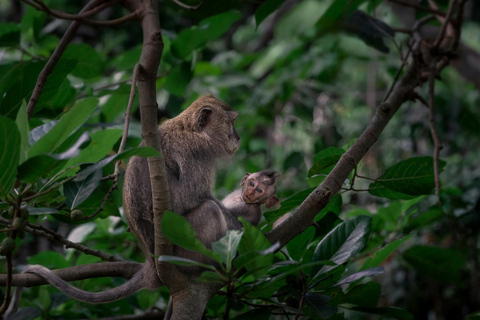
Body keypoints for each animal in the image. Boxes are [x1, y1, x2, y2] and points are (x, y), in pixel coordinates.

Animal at [5, 95, 242, 316]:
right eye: (232, 122)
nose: (238, 137)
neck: (190, 128)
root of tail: (152, 263)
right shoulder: (197, 151)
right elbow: (193, 197)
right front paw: (242, 226)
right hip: (184, 252)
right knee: (209, 210)